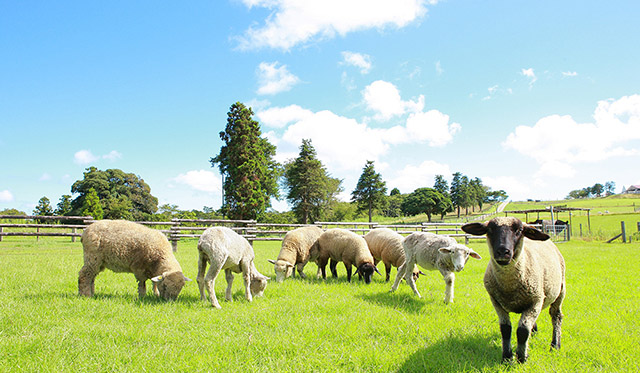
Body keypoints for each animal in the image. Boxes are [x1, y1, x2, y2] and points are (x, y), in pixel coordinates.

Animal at [462, 217, 568, 362]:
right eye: (490, 229)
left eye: (519, 230)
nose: (503, 251)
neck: (510, 286)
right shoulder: (496, 302)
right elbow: (505, 329)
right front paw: (507, 357)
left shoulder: (536, 301)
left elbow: (522, 331)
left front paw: (521, 358)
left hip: (560, 291)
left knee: (556, 316)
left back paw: (555, 345)